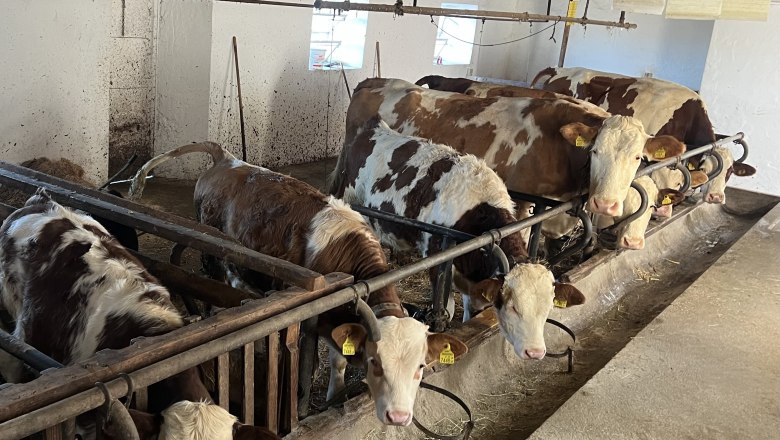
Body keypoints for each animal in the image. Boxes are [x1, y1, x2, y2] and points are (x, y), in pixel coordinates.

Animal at [127, 142, 467, 426]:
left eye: (421, 366)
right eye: (375, 361)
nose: (399, 417)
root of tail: (227, 158)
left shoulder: (338, 318)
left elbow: (338, 362)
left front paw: (334, 396)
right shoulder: (313, 321)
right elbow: (308, 367)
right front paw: (304, 408)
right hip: (214, 256)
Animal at [329, 117, 586, 359]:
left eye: (548, 308)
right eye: (513, 307)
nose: (535, 353)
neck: (478, 212)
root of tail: (375, 128)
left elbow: (473, 308)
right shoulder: (437, 255)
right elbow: (446, 310)